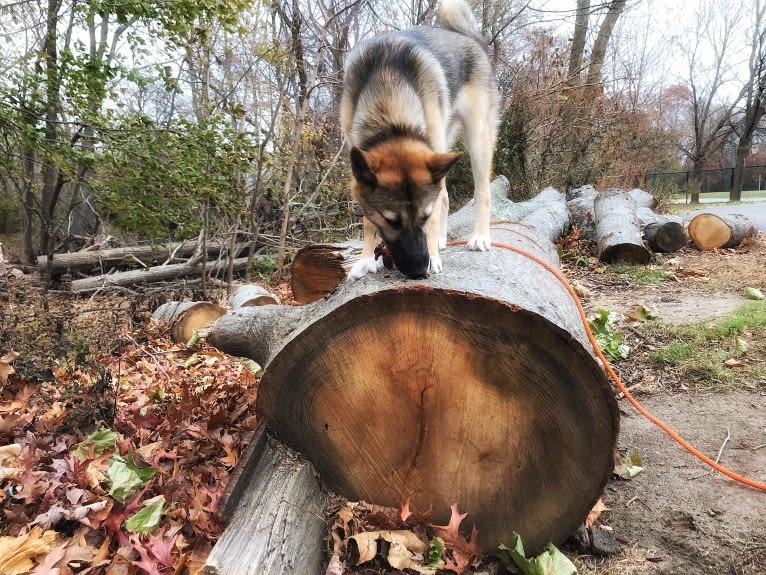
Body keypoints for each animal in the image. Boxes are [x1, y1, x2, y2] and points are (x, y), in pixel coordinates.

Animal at [340, 0, 500, 280]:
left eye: (424, 217)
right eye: (391, 221)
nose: (417, 271)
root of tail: (469, 39)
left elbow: (437, 208)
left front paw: (433, 256)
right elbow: (368, 219)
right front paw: (365, 259)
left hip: (477, 139)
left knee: (483, 191)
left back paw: (480, 237)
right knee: (444, 195)